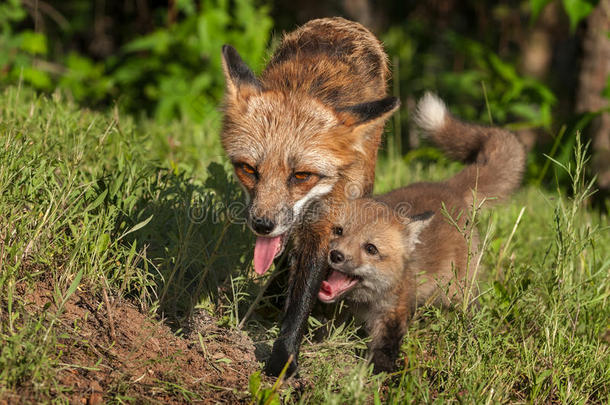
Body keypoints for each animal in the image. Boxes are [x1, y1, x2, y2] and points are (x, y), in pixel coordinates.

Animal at [220, 17, 400, 374]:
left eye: (301, 175)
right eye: (249, 169)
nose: (263, 225)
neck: (304, 89)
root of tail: (345, 23)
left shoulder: (325, 219)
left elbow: (303, 295)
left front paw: (283, 361)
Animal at [318, 94, 524, 372]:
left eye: (371, 249)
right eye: (338, 231)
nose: (336, 255)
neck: (363, 304)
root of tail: (447, 186)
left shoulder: (393, 314)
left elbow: (383, 352)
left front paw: (375, 374)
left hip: (458, 290)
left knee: (472, 308)